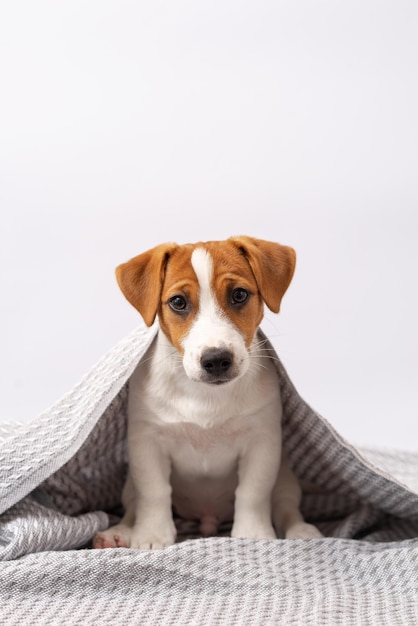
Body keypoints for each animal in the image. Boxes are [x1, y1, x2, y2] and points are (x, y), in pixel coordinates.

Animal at [94, 234, 320, 544]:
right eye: (178, 302)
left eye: (239, 295)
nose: (216, 360)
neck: (205, 395)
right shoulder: (147, 441)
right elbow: (154, 492)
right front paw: (152, 534)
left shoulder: (262, 441)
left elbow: (252, 493)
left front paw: (252, 534)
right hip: (128, 486)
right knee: (132, 507)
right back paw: (118, 533)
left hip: (286, 478)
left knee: (286, 507)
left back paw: (301, 531)